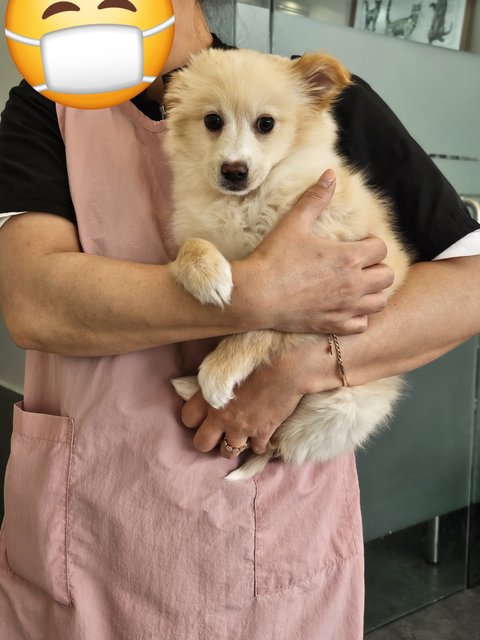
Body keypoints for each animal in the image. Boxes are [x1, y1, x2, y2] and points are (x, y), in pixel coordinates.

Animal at [164, 48, 411, 481]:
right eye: (212, 121)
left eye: (266, 124)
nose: (234, 171)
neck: (246, 202)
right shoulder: (197, 227)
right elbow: (190, 247)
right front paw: (208, 276)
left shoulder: (317, 288)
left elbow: (263, 325)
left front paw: (217, 373)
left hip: (339, 408)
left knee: (281, 444)